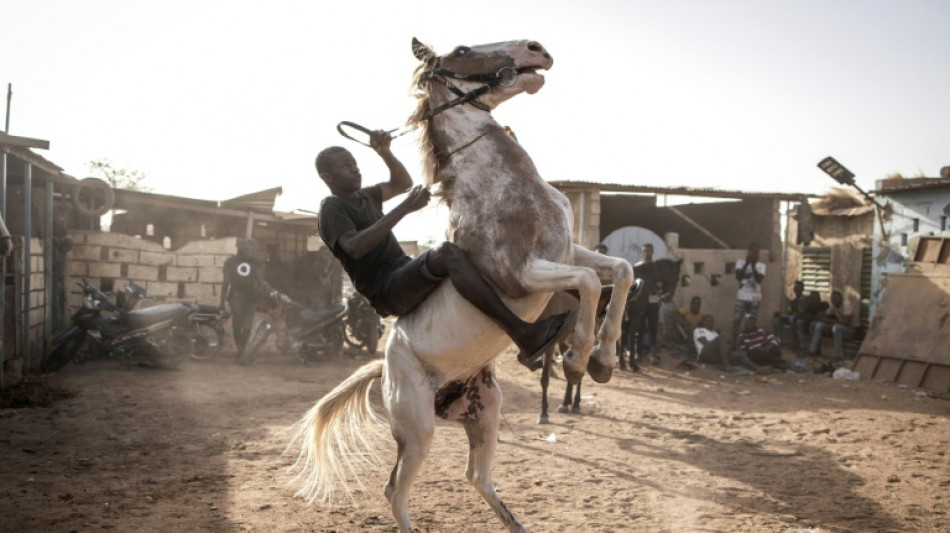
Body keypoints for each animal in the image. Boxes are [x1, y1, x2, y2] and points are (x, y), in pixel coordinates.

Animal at [288, 39, 634, 533]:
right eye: (463, 49)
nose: (538, 50)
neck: (502, 188)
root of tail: (384, 367)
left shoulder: (568, 252)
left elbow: (622, 271)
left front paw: (603, 362)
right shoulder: (520, 272)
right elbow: (588, 283)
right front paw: (575, 358)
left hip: (485, 410)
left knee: (477, 477)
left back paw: (516, 524)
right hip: (417, 431)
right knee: (394, 490)